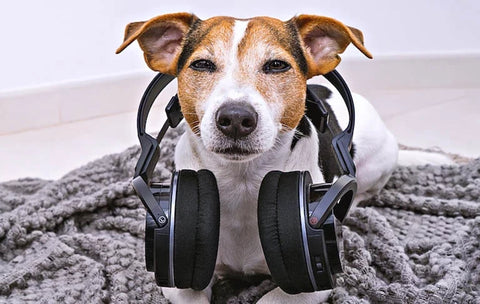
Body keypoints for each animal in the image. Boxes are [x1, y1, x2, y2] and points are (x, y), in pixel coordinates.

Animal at [118, 12, 400, 304]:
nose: (235, 118)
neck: (242, 181)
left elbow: (272, 298)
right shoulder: (180, 279)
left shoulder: (312, 286)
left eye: (276, 65)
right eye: (202, 64)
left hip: (377, 163)